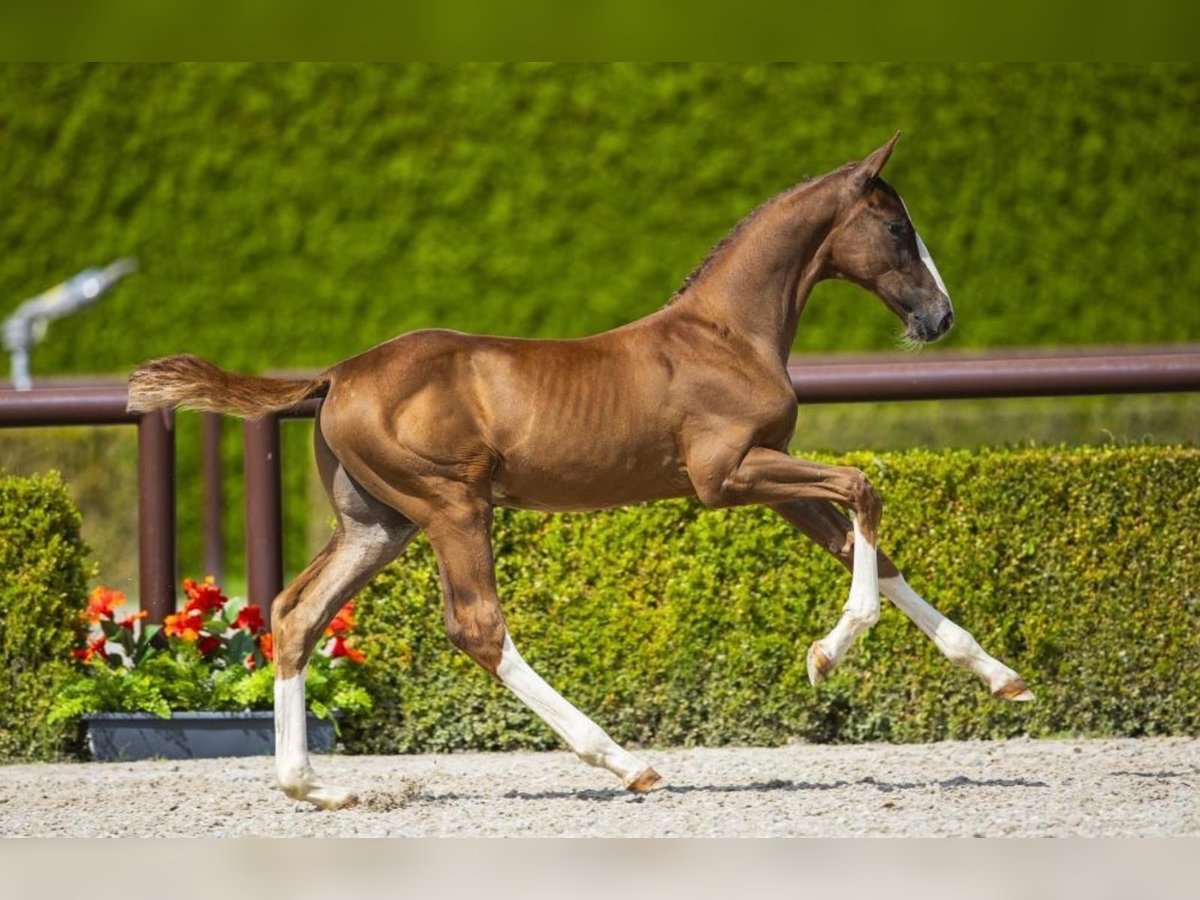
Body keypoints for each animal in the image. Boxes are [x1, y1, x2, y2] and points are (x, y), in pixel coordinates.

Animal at [129, 132, 1032, 811]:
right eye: (897, 228)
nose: (939, 316)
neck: (727, 333)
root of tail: (335, 376)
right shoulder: (728, 476)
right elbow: (862, 489)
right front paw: (826, 656)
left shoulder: (767, 480)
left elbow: (866, 546)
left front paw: (1001, 678)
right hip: (452, 507)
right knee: (477, 628)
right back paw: (625, 761)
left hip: (378, 524)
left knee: (295, 614)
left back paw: (313, 788)